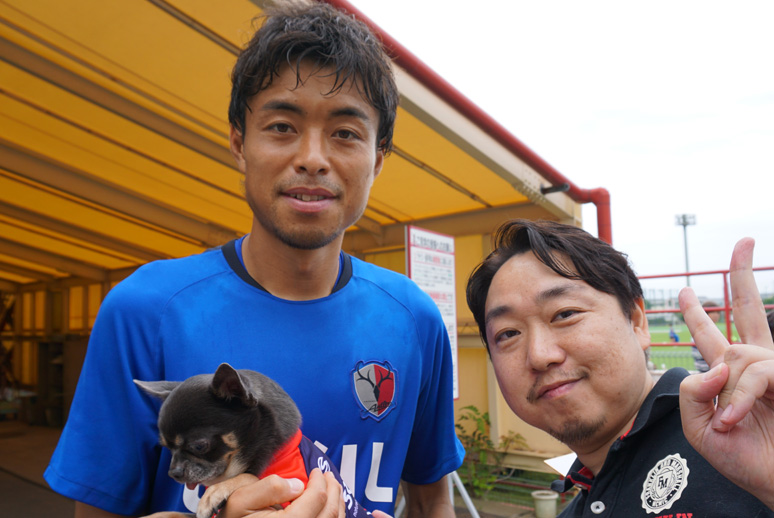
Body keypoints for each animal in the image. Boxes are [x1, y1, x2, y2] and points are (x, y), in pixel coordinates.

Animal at [135, 363, 366, 518]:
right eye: (165, 447)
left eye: (199, 446)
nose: (173, 473)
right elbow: (175, 513)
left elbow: (252, 477)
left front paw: (214, 493)